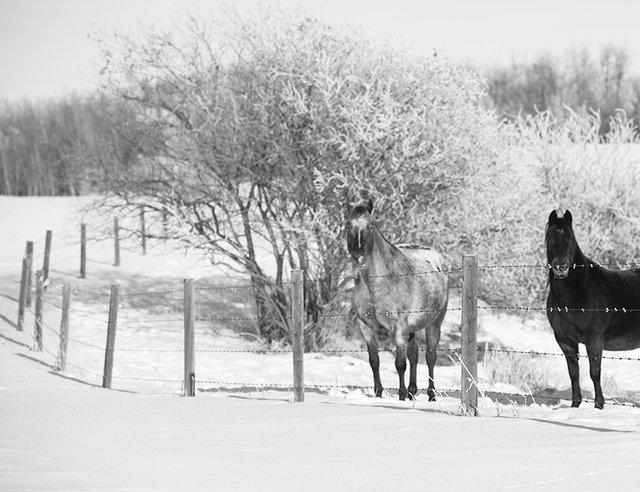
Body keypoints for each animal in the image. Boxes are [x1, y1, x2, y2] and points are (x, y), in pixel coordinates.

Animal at [348, 198, 448, 402]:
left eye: (370, 226)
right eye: (348, 226)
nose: (358, 256)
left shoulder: (398, 327)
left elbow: (400, 363)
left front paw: (401, 396)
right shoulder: (366, 328)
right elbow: (374, 361)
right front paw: (378, 393)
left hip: (434, 323)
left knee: (430, 357)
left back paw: (431, 395)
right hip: (412, 328)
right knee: (414, 354)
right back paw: (412, 391)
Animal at [548, 209, 640, 410]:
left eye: (570, 238)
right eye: (550, 237)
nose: (560, 267)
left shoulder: (594, 339)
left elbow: (594, 372)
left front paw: (599, 405)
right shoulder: (565, 340)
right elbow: (574, 372)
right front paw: (575, 404)